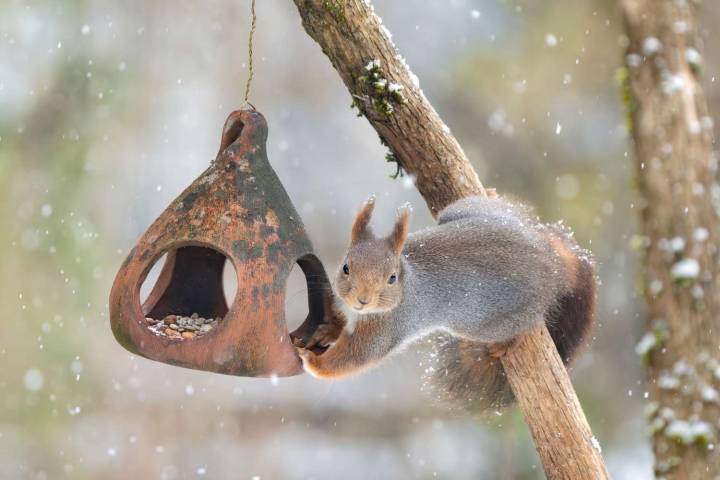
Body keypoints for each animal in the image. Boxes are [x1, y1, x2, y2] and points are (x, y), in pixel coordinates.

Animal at [296, 195, 597, 411]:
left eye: (391, 277)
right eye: (346, 267)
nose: (362, 299)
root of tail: (549, 260)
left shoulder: (387, 327)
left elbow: (355, 356)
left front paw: (313, 361)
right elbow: (338, 326)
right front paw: (325, 332)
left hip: (487, 322)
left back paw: (505, 344)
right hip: (464, 210)